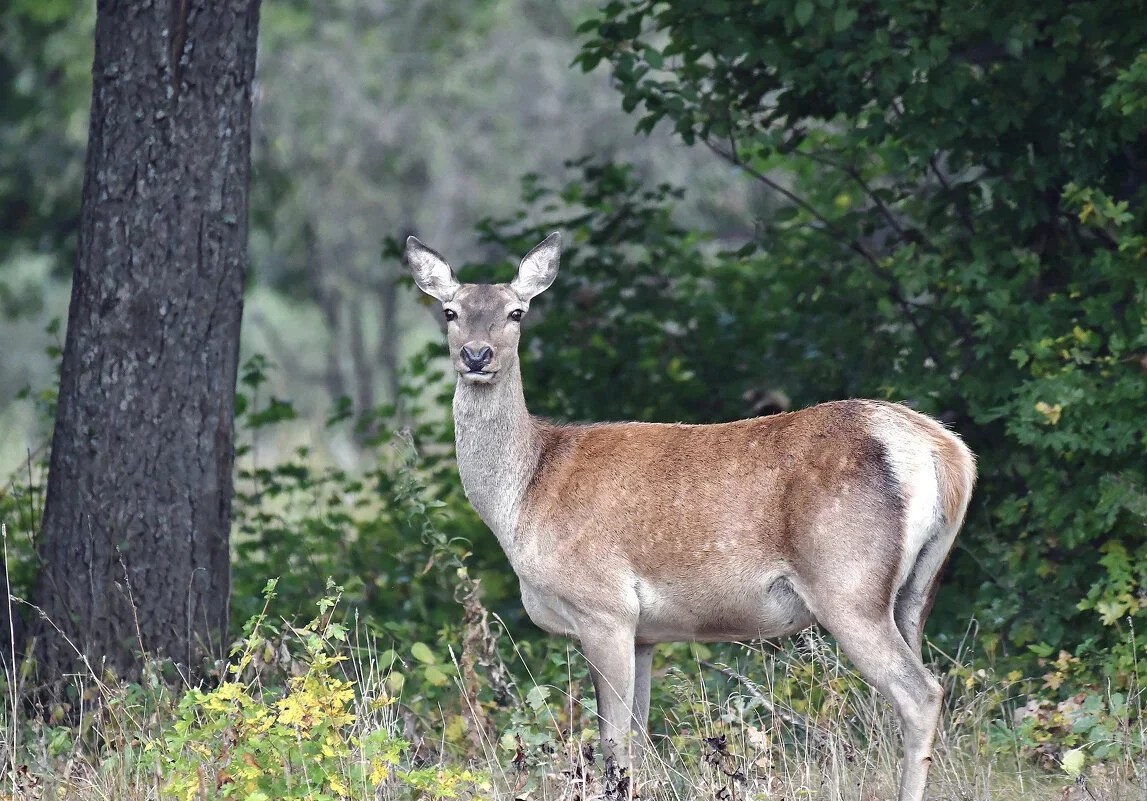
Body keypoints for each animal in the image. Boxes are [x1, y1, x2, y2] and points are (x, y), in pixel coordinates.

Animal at [405, 232, 976, 801]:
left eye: (516, 312)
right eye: (450, 311)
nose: (476, 355)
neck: (525, 497)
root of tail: (946, 452)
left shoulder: (603, 605)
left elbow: (613, 742)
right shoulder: (645, 633)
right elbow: (635, 739)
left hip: (847, 581)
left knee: (920, 692)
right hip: (916, 590)